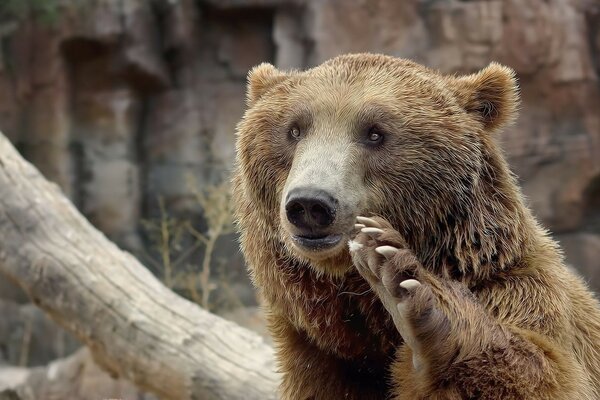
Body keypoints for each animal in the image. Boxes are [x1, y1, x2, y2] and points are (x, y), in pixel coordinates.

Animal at [230, 54, 600, 400]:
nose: (310, 204)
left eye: (375, 133)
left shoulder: (520, 291)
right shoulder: (315, 353)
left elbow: (543, 372)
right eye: (294, 129)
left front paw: (405, 283)